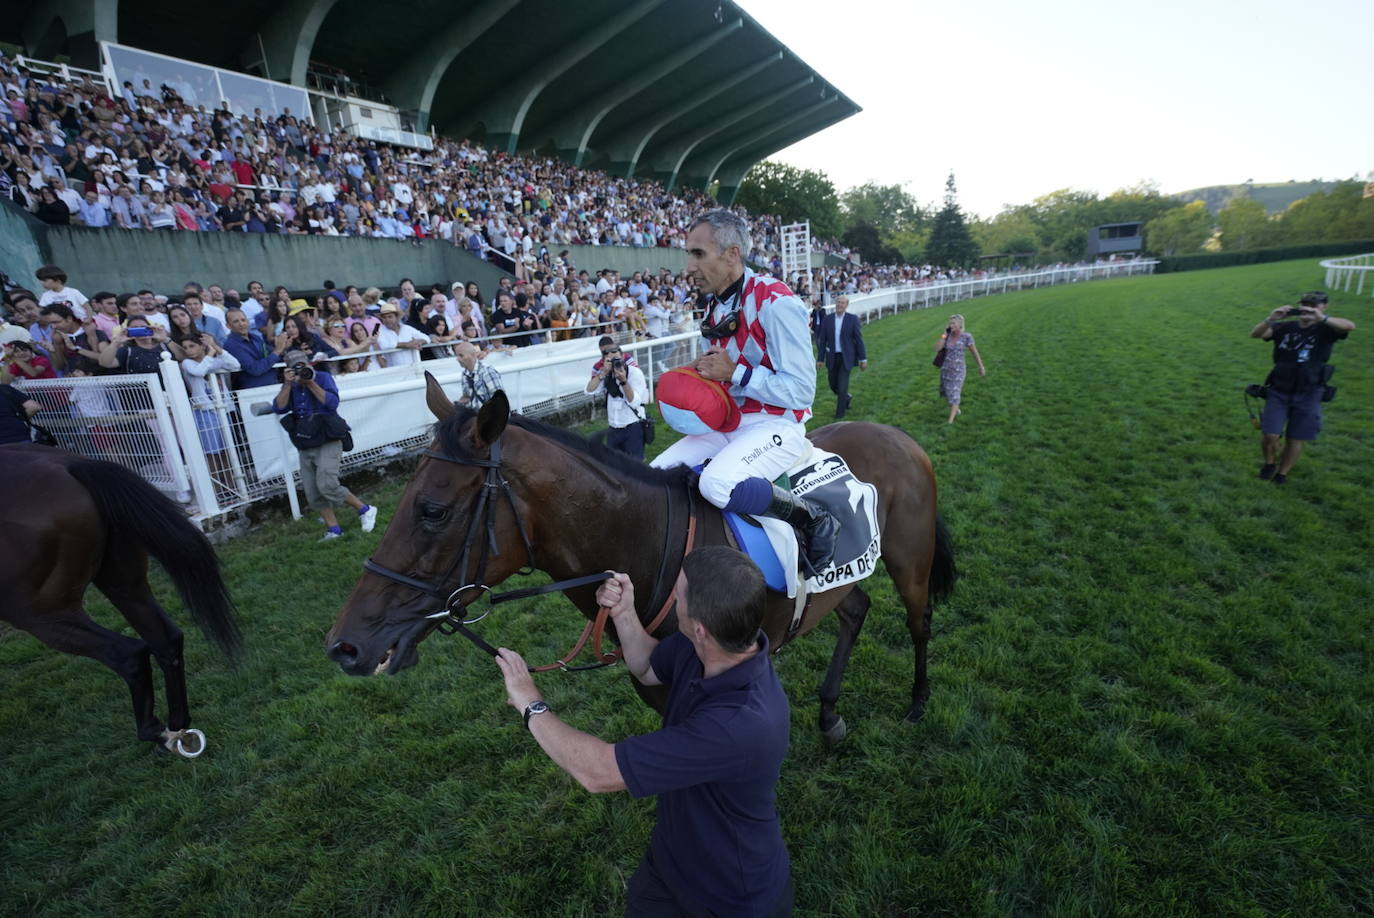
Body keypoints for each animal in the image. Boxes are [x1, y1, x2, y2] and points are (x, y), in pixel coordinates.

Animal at [0, 442, 244, 753]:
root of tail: (70, 464)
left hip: (39, 611)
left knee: (128, 653)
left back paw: (156, 731)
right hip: (125, 582)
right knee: (166, 639)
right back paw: (177, 728)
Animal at [331, 376, 956, 742]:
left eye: (432, 510)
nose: (344, 645)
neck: (655, 548)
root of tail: (898, 435)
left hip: (910, 561)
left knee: (918, 620)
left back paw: (919, 701)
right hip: (840, 582)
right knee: (854, 610)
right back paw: (829, 713)